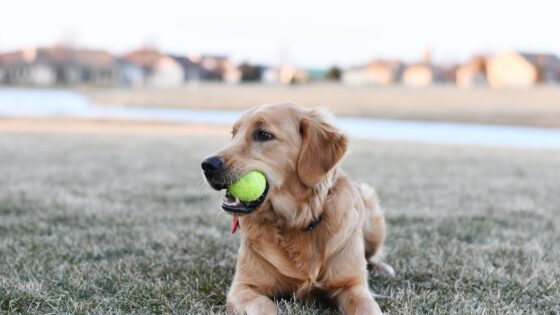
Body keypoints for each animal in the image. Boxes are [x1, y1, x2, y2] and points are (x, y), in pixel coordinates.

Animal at [202, 103, 394, 315]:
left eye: (263, 134)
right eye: (234, 134)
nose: (207, 164)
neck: (296, 221)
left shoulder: (353, 286)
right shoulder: (243, 287)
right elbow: (263, 305)